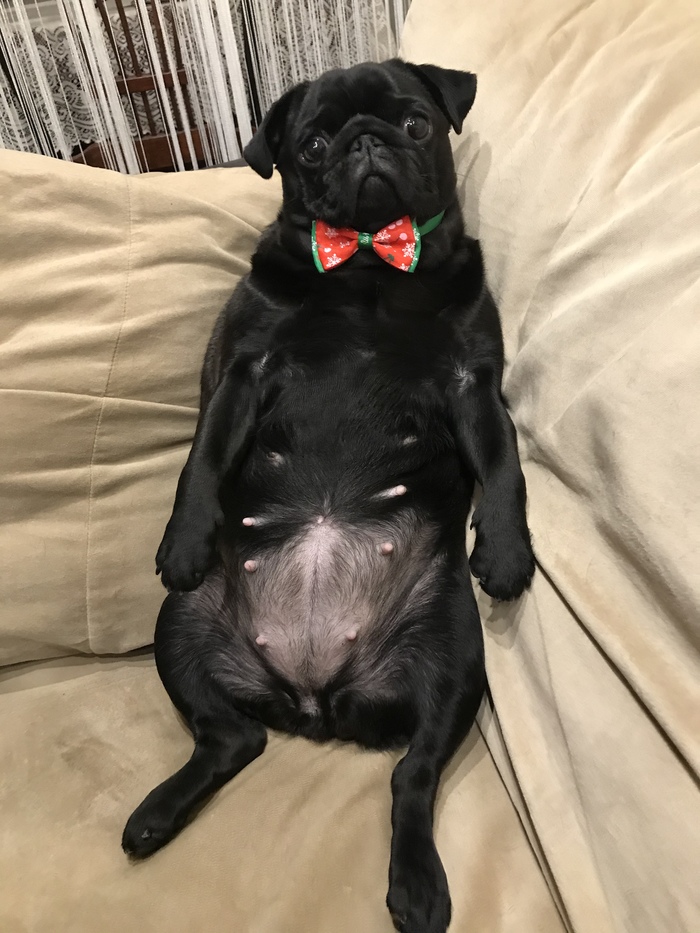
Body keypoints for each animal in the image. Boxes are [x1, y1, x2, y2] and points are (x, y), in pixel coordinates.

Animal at [122, 59, 535, 933]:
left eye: (416, 123)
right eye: (311, 145)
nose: (365, 141)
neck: (368, 271)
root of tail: (315, 698)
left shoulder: (474, 383)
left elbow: (505, 463)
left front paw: (507, 551)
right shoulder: (241, 372)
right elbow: (200, 460)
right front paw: (183, 537)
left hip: (458, 659)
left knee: (410, 777)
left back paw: (416, 884)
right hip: (180, 629)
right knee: (232, 740)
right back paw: (158, 811)